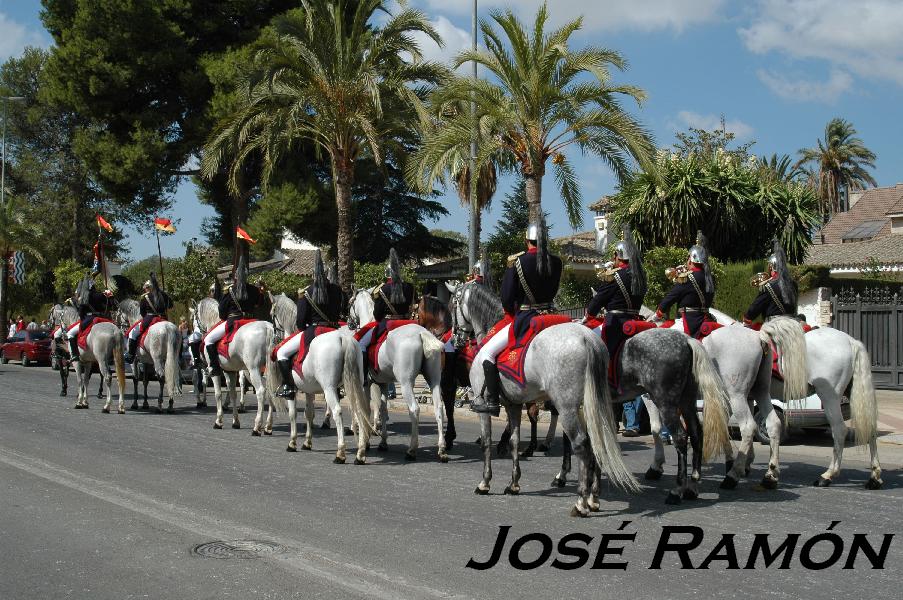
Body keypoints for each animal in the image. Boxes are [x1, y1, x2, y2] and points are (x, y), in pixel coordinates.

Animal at [191, 298, 276, 434]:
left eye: (193, 317)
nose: (194, 333)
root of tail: (267, 328)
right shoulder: (230, 371)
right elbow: (232, 394)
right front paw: (235, 422)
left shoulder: (214, 371)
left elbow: (218, 394)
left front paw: (218, 421)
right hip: (266, 371)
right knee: (270, 391)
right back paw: (268, 426)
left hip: (253, 370)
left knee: (261, 392)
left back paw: (257, 426)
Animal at [264, 294, 374, 464]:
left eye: (272, 314)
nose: (275, 336)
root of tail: (343, 338)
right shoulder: (309, 390)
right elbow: (309, 413)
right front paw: (307, 442)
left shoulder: (293, 391)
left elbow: (293, 413)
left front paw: (292, 442)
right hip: (358, 386)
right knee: (362, 411)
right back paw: (361, 453)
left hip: (329, 388)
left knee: (338, 412)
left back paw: (340, 453)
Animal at [352, 288, 450, 462]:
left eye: (350, 302)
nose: (349, 321)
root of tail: (422, 333)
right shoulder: (383, 384)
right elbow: (383, 409)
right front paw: (383, 442)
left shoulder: (366, 385)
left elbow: (367, 409)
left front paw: (366, 442)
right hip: (434, 381)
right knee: (439, 408)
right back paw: (441, 449)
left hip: (405, 383)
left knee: (414, 409)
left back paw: (412, 450)